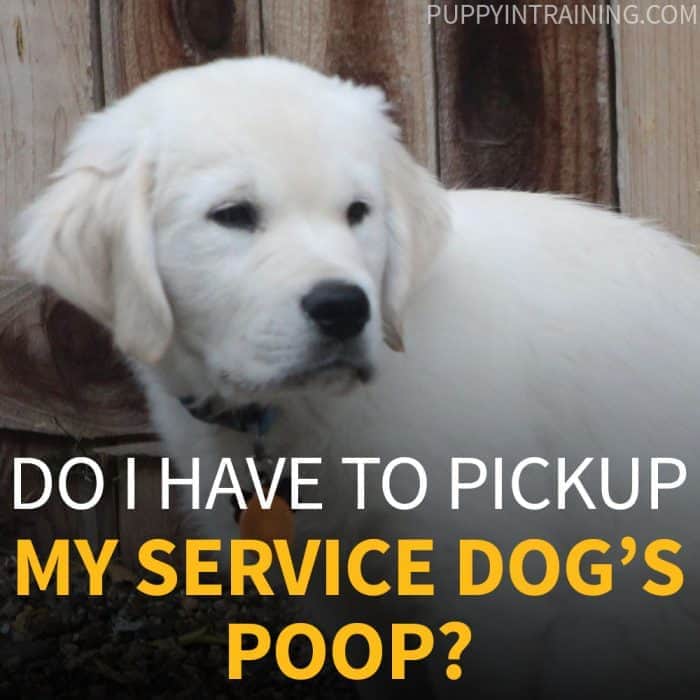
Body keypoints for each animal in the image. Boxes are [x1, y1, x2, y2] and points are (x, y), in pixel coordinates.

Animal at [13, 57, 700, 696]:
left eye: (357, 212)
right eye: (232, 214)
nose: (344, 307)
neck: (301, 417)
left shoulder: (493, 593)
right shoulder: (340, 593)